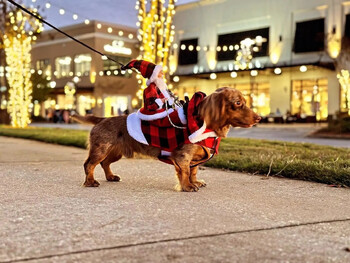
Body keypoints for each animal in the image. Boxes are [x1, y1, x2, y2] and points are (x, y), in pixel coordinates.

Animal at [72, 87, 262, 193]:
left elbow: (193, 171)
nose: (259, 118)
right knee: (89, 164)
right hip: (101, 149)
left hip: (115, 152)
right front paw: (187, 186)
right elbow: (184, 172)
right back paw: (90, 182)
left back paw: (111, 177)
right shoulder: (182, 157)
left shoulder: (194, 159)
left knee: (105, 164)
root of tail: (101, 119)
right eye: (238, 103)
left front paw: (195, 182)